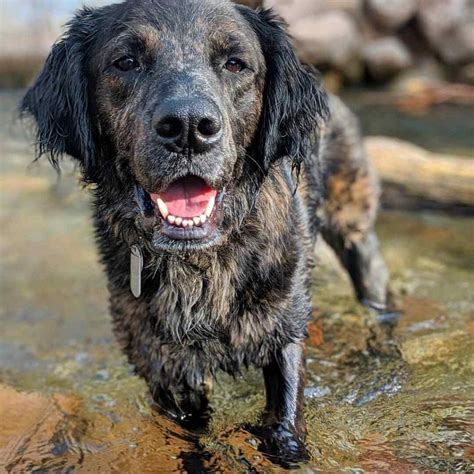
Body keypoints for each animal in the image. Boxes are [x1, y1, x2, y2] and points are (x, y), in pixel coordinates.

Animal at [22, 0, 390, 462]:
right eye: (126, 62)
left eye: (235, 63)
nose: (188, 127)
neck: (201, 266)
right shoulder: (163, 366)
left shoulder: (284, 326)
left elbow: (285, 419)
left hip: (353, 223)